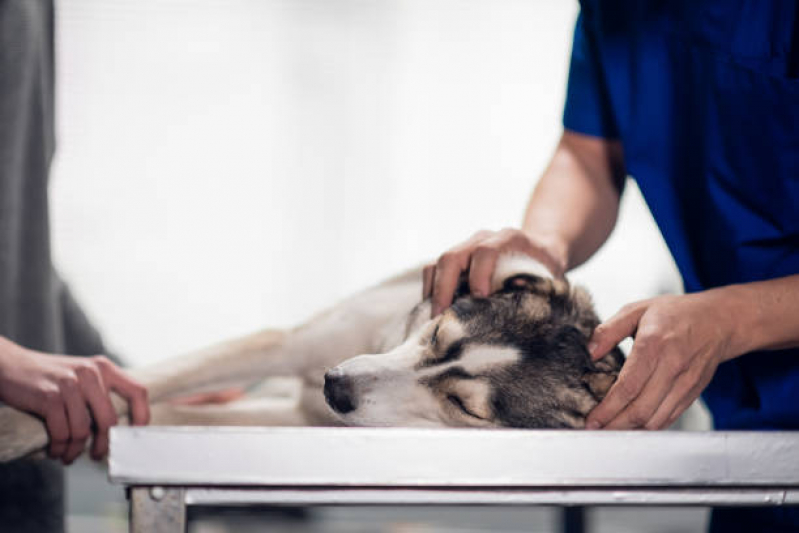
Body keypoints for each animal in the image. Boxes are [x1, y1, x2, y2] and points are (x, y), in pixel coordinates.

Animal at [0, 255, 620, 462]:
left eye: (463, 408)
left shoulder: (296, 420)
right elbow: (141, 381)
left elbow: (145, 407)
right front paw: (22, 422)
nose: (335, 385)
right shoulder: (285, 343)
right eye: (439, 333)